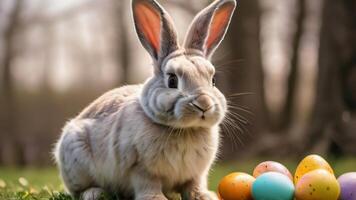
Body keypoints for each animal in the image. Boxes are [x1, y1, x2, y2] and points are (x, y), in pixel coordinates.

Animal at [53, 0, 236, 199]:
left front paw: (204, 196)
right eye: (172, 80)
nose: (204, 104)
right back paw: (94, 193)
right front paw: (156, 198)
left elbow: (194, 185)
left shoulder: (195, 174)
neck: (185, 130)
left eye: (213, 80)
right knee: (80, 190)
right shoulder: (140, 168)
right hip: (76, 158)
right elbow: (148, 184)